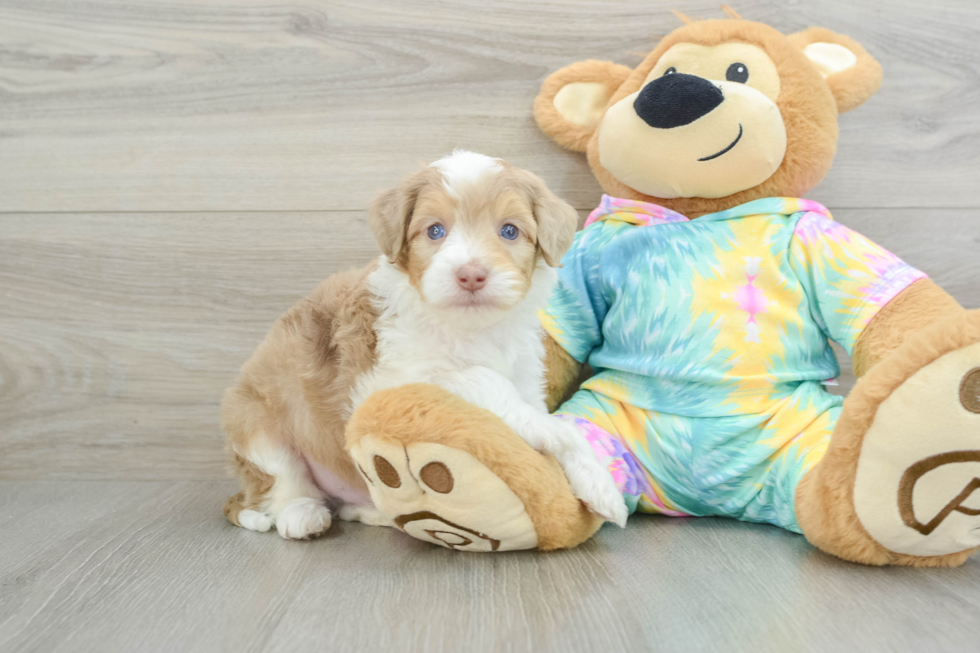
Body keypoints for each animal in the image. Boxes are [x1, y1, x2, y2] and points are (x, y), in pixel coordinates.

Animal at [222, 150, 628, 536]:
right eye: (435, 230)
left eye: (510, 231)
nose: (471, 275)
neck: (470, 329)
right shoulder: (388, 379)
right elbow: (486, 381)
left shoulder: (525, 373)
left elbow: (536, 415)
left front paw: (595, 482)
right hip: (253, 421)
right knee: (279, 482)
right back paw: (302, 514)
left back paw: (369, 511)